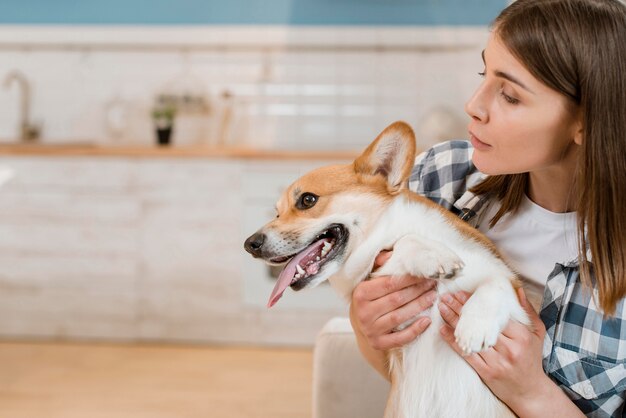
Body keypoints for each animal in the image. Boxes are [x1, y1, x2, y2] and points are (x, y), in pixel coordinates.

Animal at [244, 121, 528, 418]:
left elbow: (496, 283)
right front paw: (433, 256)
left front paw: (474, 328)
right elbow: (406, 241)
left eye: (307, 200)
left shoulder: (515, 292)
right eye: (277, 212)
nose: (250, 244)